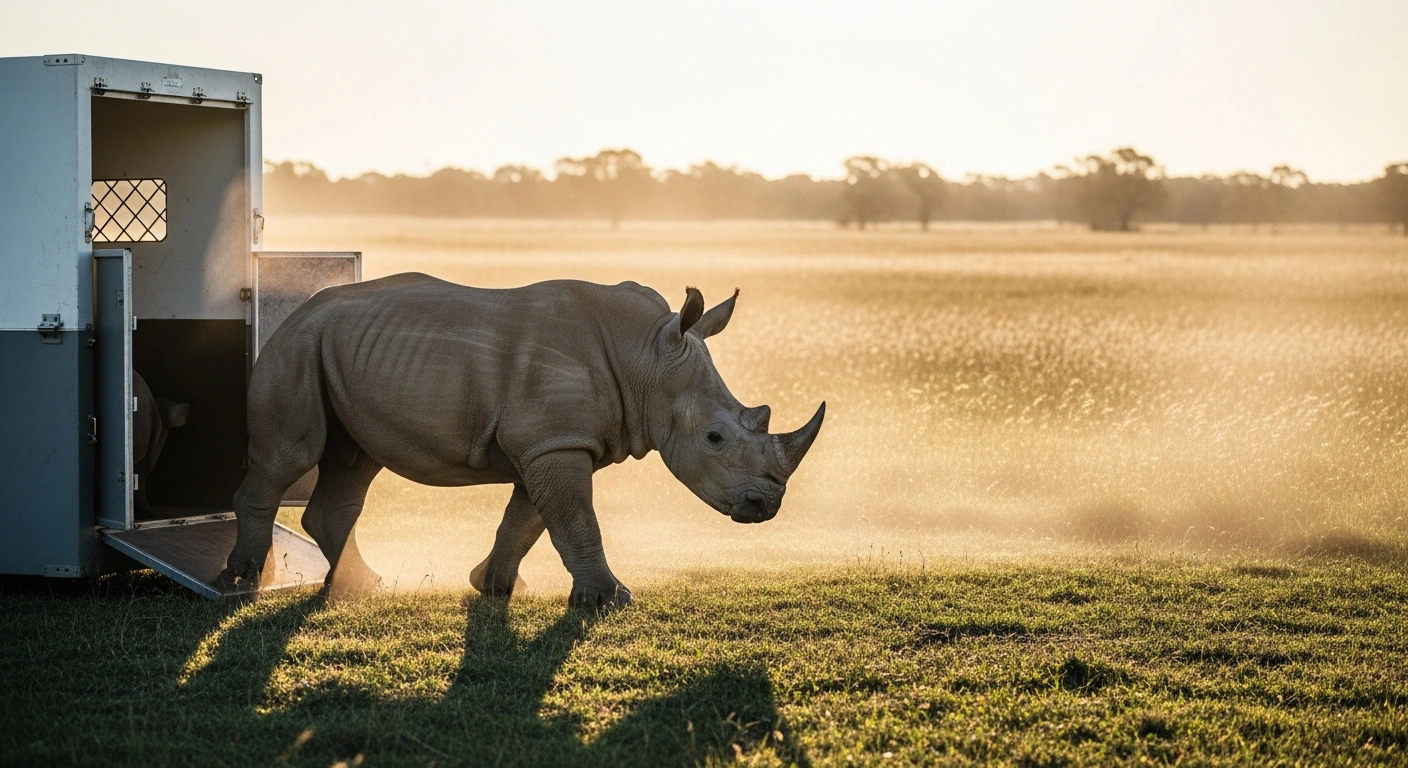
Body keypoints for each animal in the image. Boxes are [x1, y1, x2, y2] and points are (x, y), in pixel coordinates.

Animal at [217, 274, 825, 607]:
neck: (647, 358)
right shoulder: (555, 443)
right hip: (296, 344)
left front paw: (494, 587)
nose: (765, 506)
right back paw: (241, 581)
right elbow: (575, 519)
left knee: (355, 461)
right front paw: (610, 601)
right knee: (290, 455)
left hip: (342, 351)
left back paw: (362, 587)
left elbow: (528, 520)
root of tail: (301, 307)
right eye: (715, 437)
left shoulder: (550, 443)